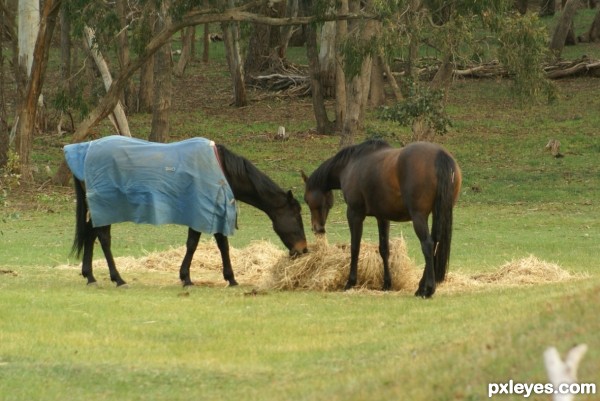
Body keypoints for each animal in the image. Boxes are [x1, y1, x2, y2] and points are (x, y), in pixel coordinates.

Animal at [68, 136, 308, 286]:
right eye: (297, 217)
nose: (303, 250)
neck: (221, 169)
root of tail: (84, 152)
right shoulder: (205, 209)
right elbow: (200, 244)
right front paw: (192, 278)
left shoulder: (211, 211)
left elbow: (215, 245)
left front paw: (225, 278)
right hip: (105, 207)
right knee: (103, 238)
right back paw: (118, 279)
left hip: (97, 209)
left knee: (90, 235)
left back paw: (90, 276)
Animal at [302, 139, 462, 296]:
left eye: (306, 200)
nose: (317, 228)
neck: (351, 164)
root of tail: (440, 154)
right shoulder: (383, 217)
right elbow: (384, 249)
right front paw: (386, 284)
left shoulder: (354, 214)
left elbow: (355, 247)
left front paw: (350, 282)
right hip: (437, 213)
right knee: (434, 243)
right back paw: (421, 287)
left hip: (419, 217)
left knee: (427, 245)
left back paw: (428, 289)